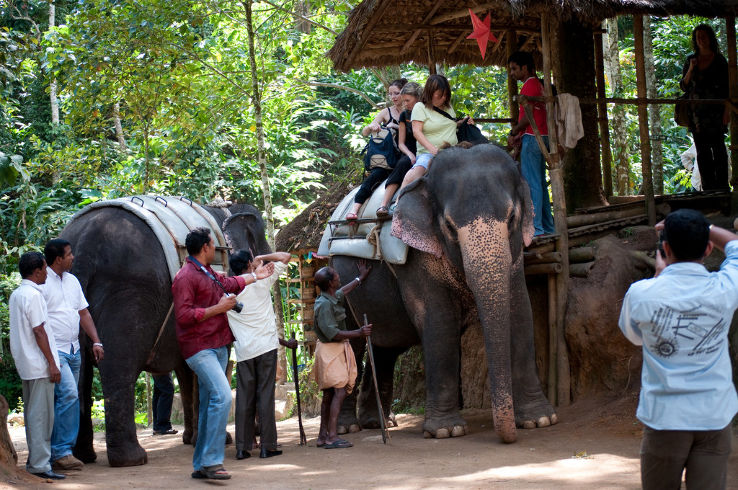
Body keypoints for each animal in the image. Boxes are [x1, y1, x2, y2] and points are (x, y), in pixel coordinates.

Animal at [60, 201, 270, 467]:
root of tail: (83, 244)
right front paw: (222, 439)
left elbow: (187, 367)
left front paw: (191, 439)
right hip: (129, 293)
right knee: (117, 365)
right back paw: (132, 459)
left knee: (81, 371)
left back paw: (84, 456)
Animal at [332, 144, 557, 443]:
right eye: (449, 227)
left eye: (511, 219)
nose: (507, 436)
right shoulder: (417, 257)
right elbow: (439, 320)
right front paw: (446, 430)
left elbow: (520, 311)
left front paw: (539, 420)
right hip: (337, 274)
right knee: (351, 342)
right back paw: (347, 428)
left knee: (385, 345)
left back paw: (378, 423)